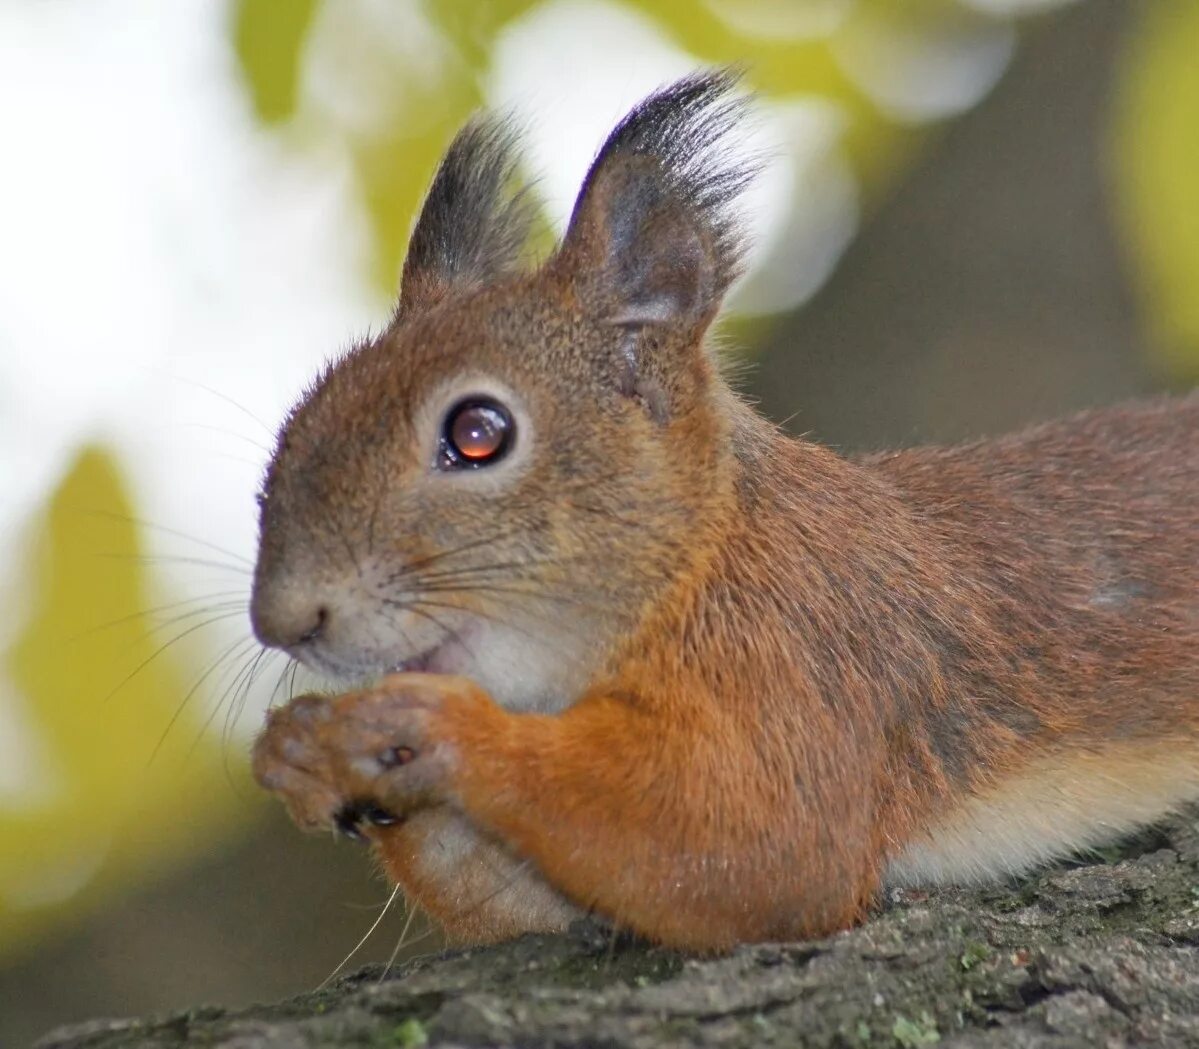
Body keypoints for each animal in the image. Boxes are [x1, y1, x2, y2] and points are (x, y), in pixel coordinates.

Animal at [245, 71, 1199, 949]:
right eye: (297, 419)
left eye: (478, 434)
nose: (285, 621)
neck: (705, 544)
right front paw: (300, 753)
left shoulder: (814, 648)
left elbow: (754, 846)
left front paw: (434, 725)